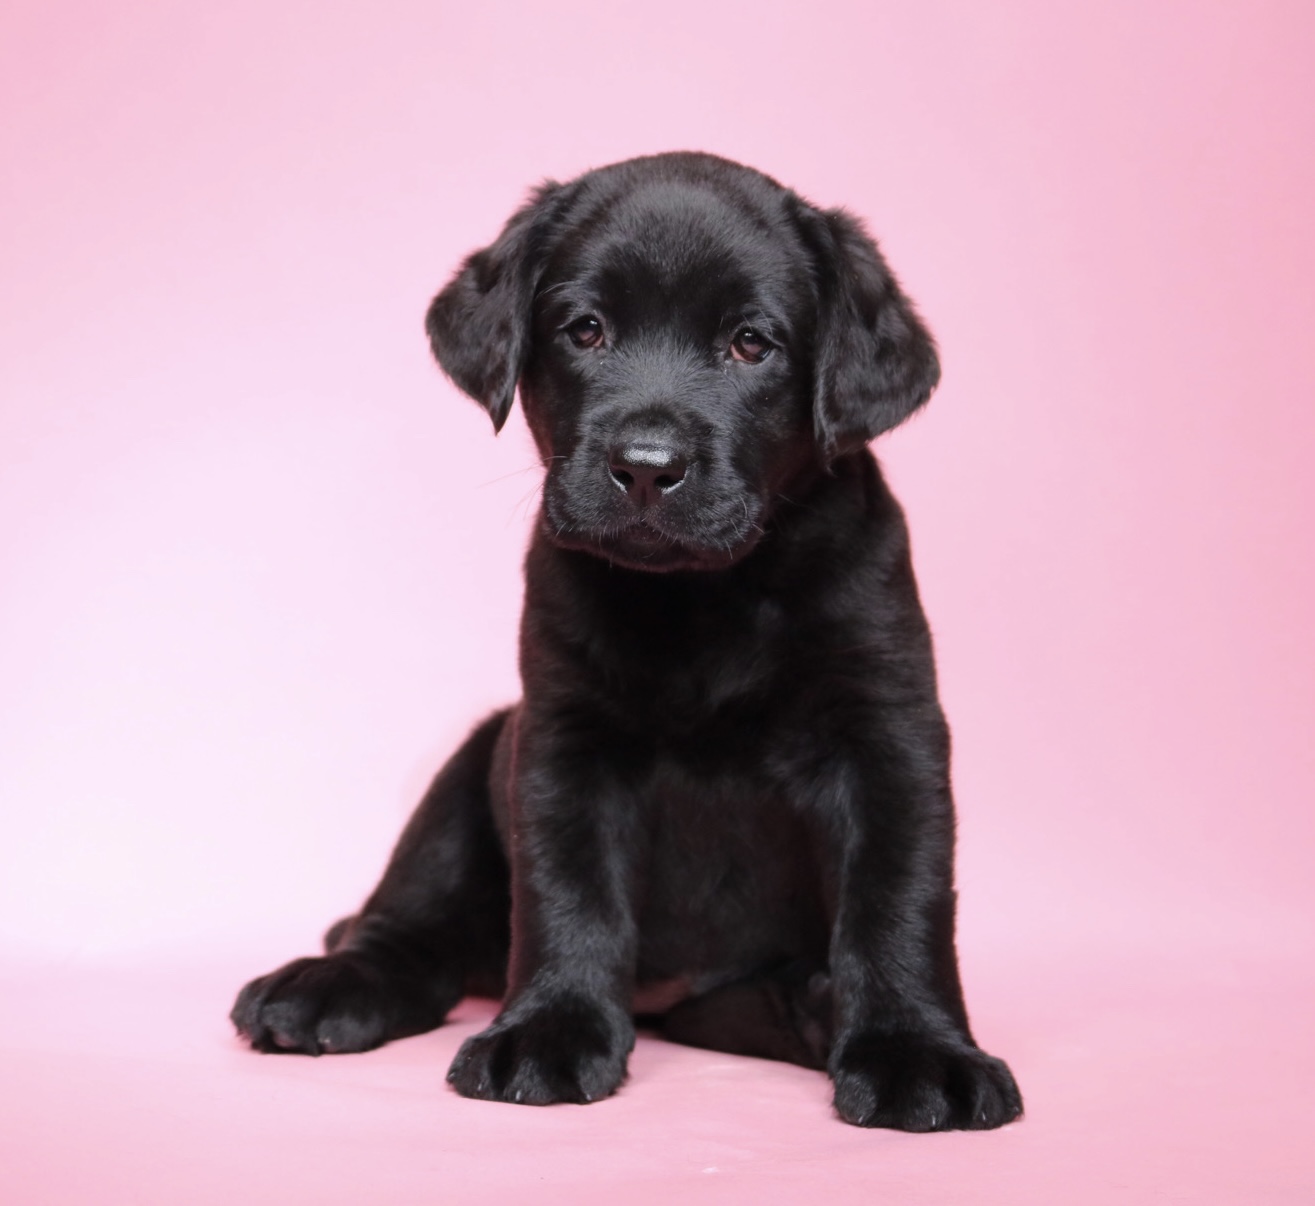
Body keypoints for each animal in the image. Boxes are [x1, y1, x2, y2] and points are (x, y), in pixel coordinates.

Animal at [231, 150, 1020, 1131]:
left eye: (751, 344)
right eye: (585, 330)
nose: (646, 467)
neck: (703, 598)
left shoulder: (888, 734)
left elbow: (899, 899)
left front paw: (917, 1049)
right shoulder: (563, 736)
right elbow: (568, 892)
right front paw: (550, 1031)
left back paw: (811, 1008)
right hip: (474, 759)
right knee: (408, 932)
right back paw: (325, 988)